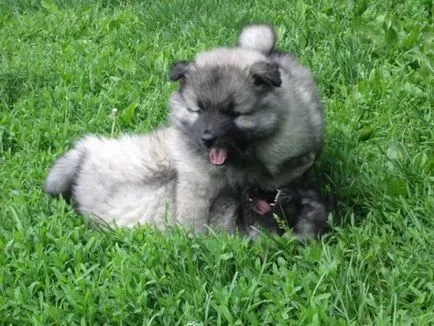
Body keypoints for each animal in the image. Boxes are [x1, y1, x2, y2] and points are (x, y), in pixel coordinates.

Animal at [44, 23, 324, 232]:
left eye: (234, 113)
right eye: (198, 109)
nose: (207, 138)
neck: (239, 161)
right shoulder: (196, 175)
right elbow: (194, 208)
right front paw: (191, 236)